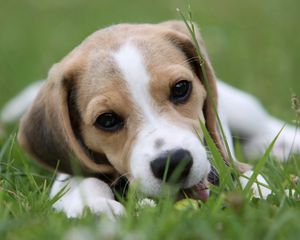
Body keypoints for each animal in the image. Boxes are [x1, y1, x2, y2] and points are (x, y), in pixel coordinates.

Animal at [3, 21, 298, 218]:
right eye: (107, 120)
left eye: (181, 88)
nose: (174, 163)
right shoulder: (69, 171)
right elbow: (85, 180)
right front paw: (97, 208)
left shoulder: (228, 160)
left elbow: (249, 177)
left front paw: (266, 195)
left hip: (241, 108)